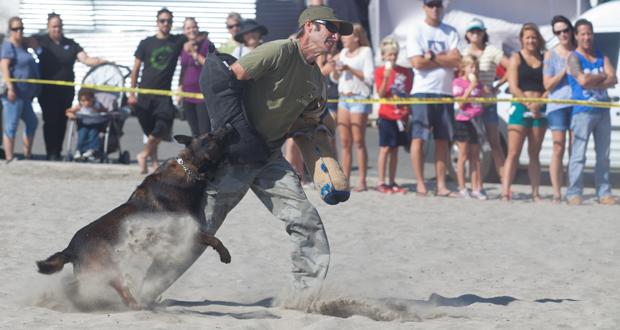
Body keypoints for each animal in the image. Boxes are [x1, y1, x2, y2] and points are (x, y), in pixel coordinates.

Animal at [37, 125, 235, 310]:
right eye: (211, 135)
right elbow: (214, 239)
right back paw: (134, 304)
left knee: (75, 287)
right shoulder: (182, 231)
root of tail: (70, 249)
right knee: (115, 288)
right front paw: (225, 254)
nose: (229, 125)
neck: (189, 167)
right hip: (108, 268)